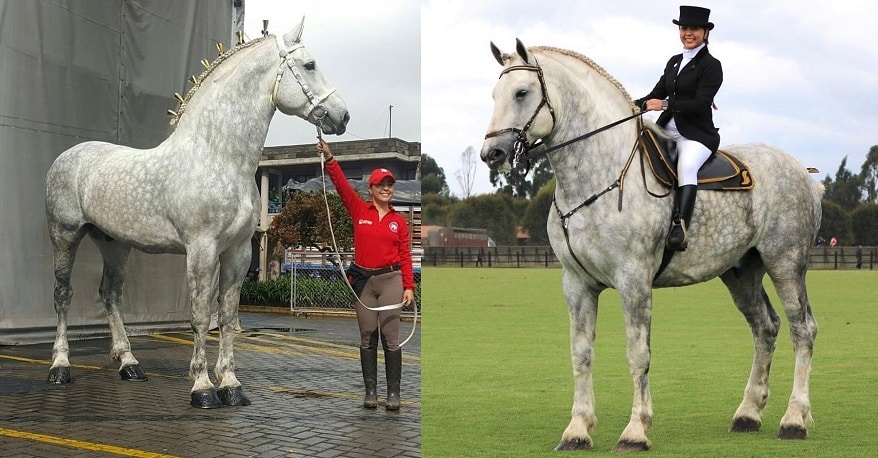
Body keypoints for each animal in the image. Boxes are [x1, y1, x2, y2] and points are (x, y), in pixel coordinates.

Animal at [43, 19, 348, 410]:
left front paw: (231, 386)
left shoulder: (238, 252)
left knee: (110, 295)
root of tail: (68, 156)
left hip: (115, 244)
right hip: (65, 236)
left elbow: (228, 317)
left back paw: (129, 364)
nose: (342, 116)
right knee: (63, 295)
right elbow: (201, 316)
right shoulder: (201, 250)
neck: (218, 157)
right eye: (309, 65)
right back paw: (60, 366)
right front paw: (202, 388)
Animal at [478, 41, 820, 452]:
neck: (599, 175)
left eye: (521, 92)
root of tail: (803, 172)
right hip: (740, 271)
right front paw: (577, 430)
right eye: (494, 95)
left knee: (802, 329)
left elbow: (638, 354)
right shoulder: (576, 283)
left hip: (785, 262)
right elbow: (581, 354)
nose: (492, 154)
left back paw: (794, 420)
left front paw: (635, 432)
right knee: (765, 327)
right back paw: (748, 414)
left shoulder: (634, 281)